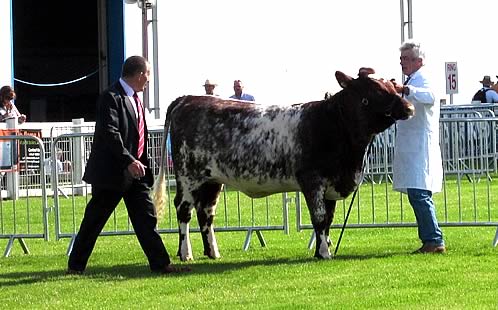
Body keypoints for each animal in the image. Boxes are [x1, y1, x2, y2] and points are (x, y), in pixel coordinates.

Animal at [153, 68, 416, 260]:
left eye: (393, 86)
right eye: (376, 90)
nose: (409, 107)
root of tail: (188, 98)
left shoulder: (331, 184)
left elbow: (328, 220)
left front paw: (323, 248)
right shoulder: (312, 180)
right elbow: (319, 217)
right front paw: (323, 252)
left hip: (212, 179)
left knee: (206, 212)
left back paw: (213, 253)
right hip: (188, 176)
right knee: (184, 210)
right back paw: (186, 254)